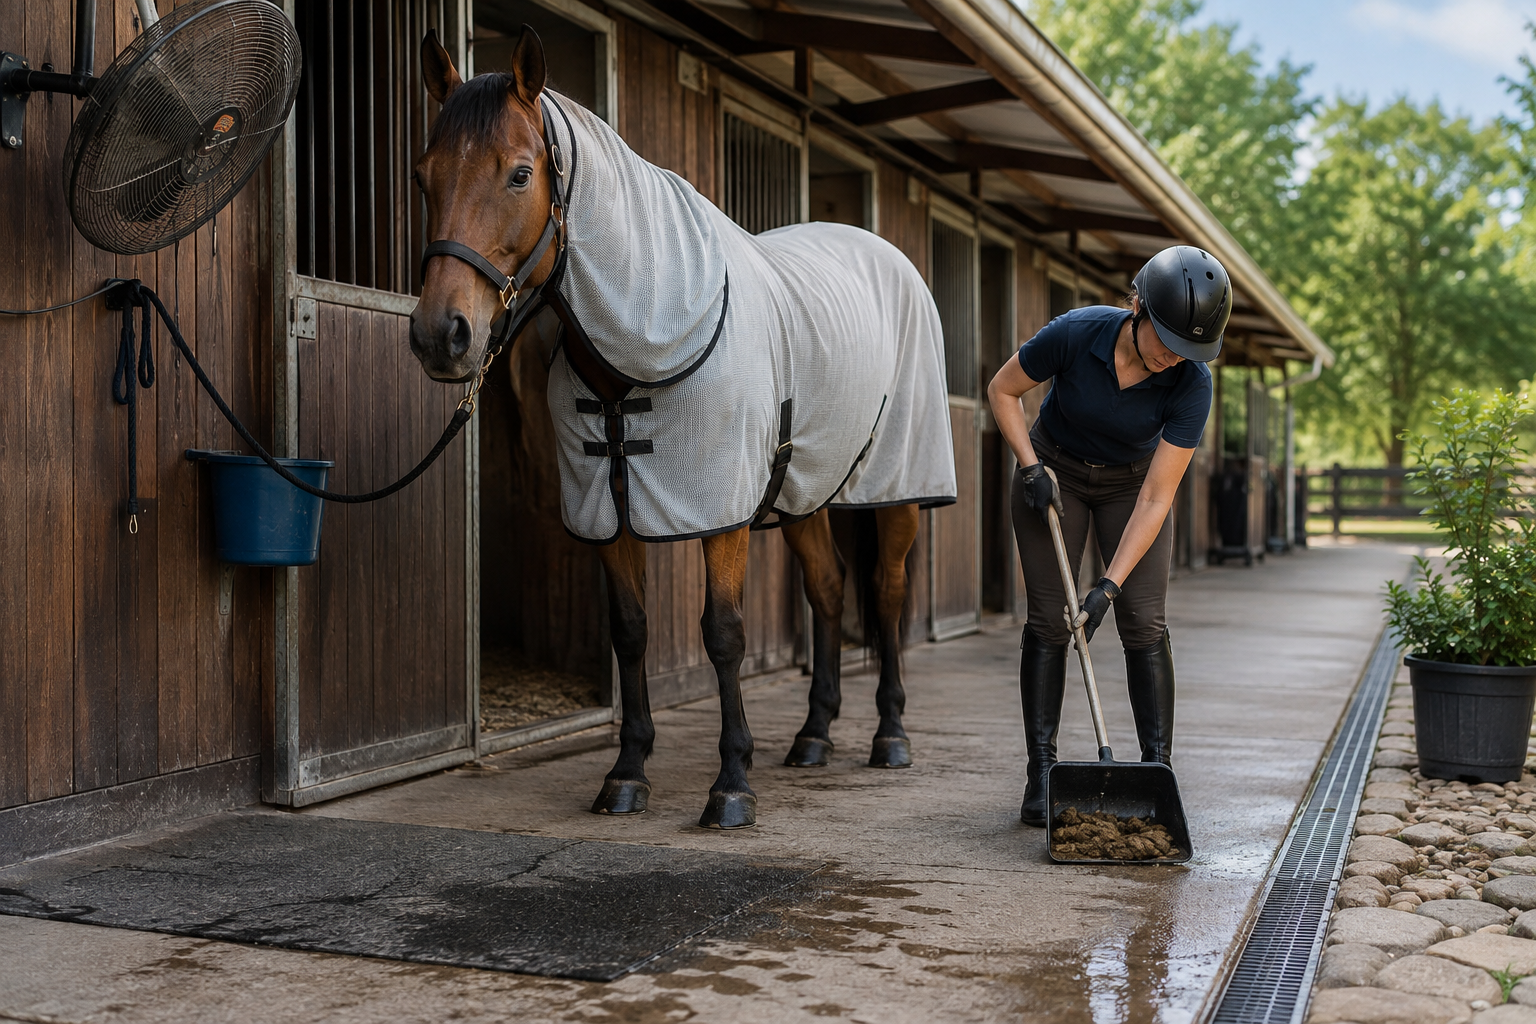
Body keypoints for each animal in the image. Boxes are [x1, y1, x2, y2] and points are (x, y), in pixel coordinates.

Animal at [408, 27, 957, 829]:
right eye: (424, 176)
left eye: (518, 174)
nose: (440, 336)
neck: (645, 332)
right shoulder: (608, 504)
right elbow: (631, 632)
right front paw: (627, 773)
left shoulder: (719, 507)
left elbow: (723, 635)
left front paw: (731, 785)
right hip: (803, 490)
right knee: (828, 588)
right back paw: (814, 735)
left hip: (899, 488)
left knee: (884, 593)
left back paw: (889, 735)